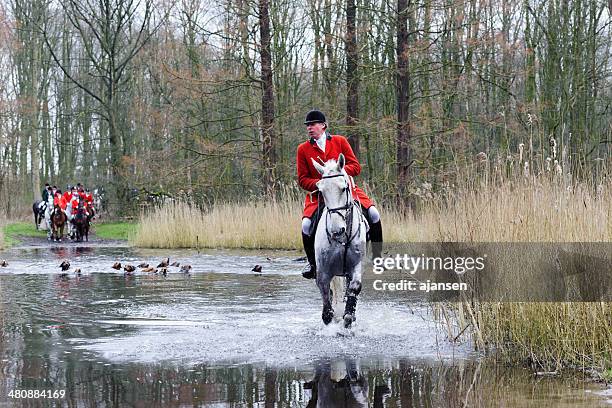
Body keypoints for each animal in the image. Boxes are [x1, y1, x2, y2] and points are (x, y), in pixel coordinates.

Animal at [314, 153, 366, 328]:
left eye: (344, 188)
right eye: (321, 191)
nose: (337, 230)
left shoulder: (355, 265)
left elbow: (354, 288)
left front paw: (348, 318)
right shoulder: (323, 271)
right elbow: (326, 301)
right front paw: (330, 320)